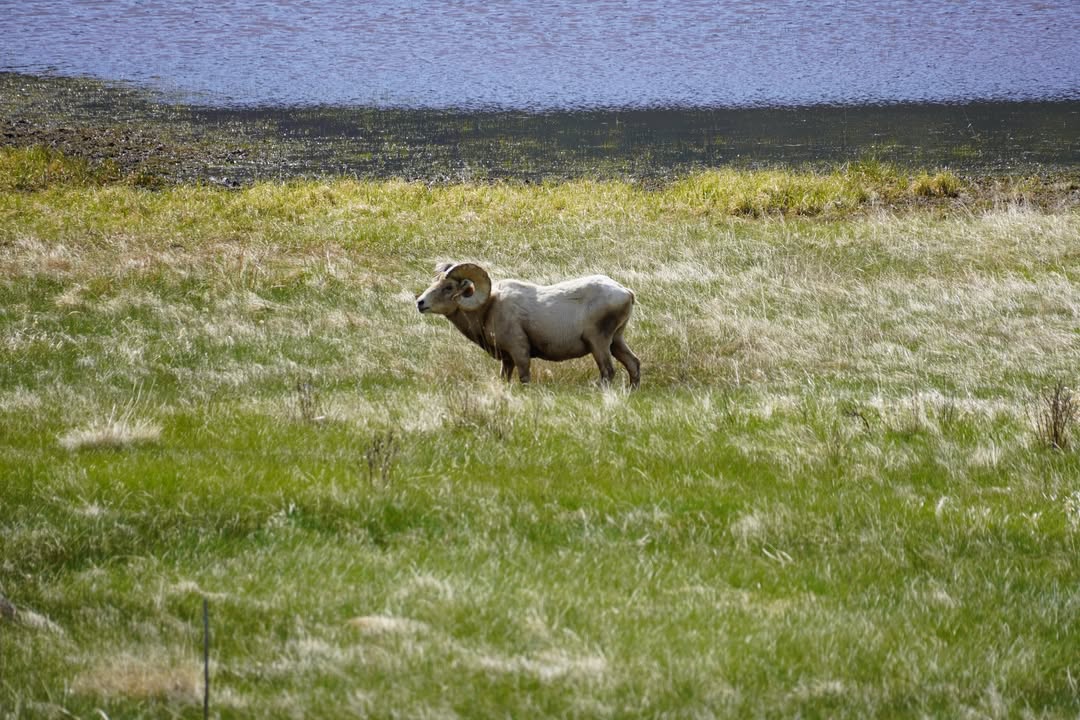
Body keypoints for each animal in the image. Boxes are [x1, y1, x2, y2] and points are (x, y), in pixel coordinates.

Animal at [416, 262, 641, 387]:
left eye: (448, 287)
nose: (420, 303)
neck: (489, 308)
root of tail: (625, 292)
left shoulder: (520, 352)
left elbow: (524, 378)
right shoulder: (507, 360)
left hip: (599, 343)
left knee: (608, 372)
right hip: (616, 341)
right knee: (633, 364)